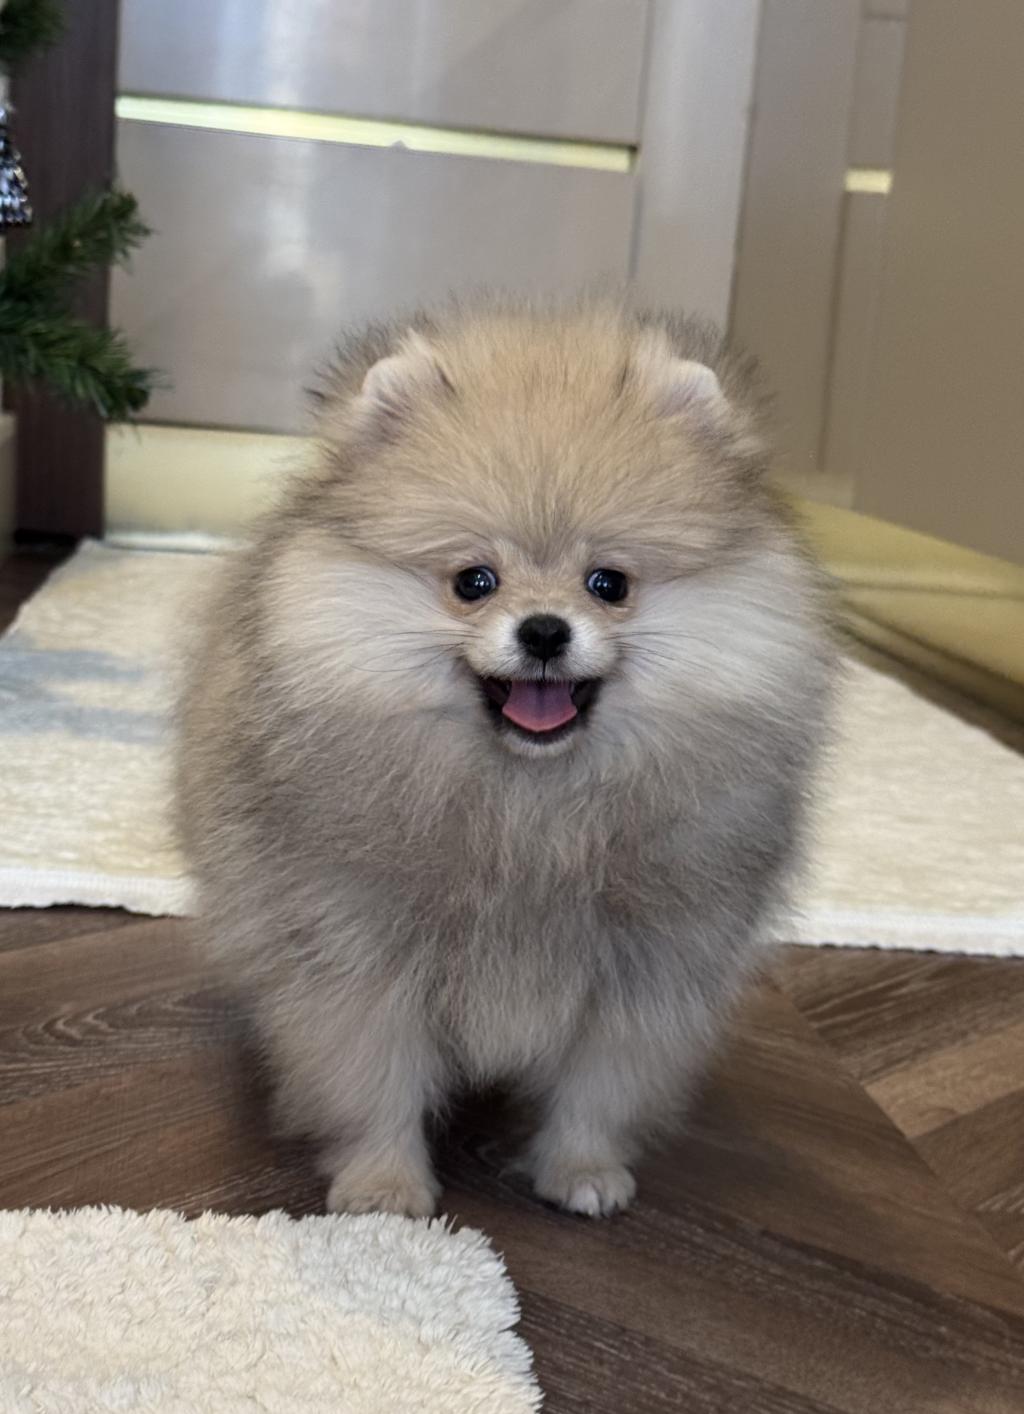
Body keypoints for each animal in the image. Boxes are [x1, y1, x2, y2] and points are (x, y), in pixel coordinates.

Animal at [177, 297, 834, 1217]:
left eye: (608, 583)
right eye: (474, 581)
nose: (545, 630)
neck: (531, 810)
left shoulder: (647, 968)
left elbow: (602, 1083)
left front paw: (582, 1168)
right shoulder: (355, 949)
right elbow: (371, 1074)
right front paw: (384, 1184)